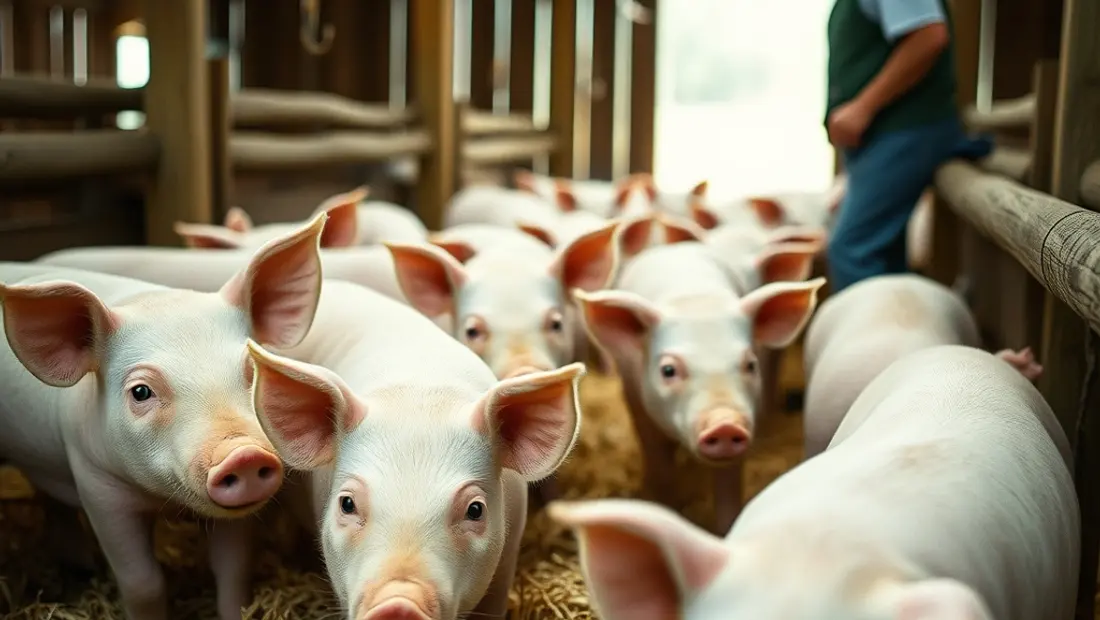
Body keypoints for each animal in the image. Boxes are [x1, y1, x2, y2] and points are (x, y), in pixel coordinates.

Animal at [0, 214, 327, 620]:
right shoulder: (96, 482)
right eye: (141, 391)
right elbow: (143, 582)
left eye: (252, 369)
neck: (163, 501)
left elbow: (233, 570)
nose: (244, 454)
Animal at [575, 240, 825, 533]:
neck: (695, 301)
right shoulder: (639, 407)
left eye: (750, 364)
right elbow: (661, 471)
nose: (725, 423)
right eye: (668, 370)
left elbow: (729, 488)